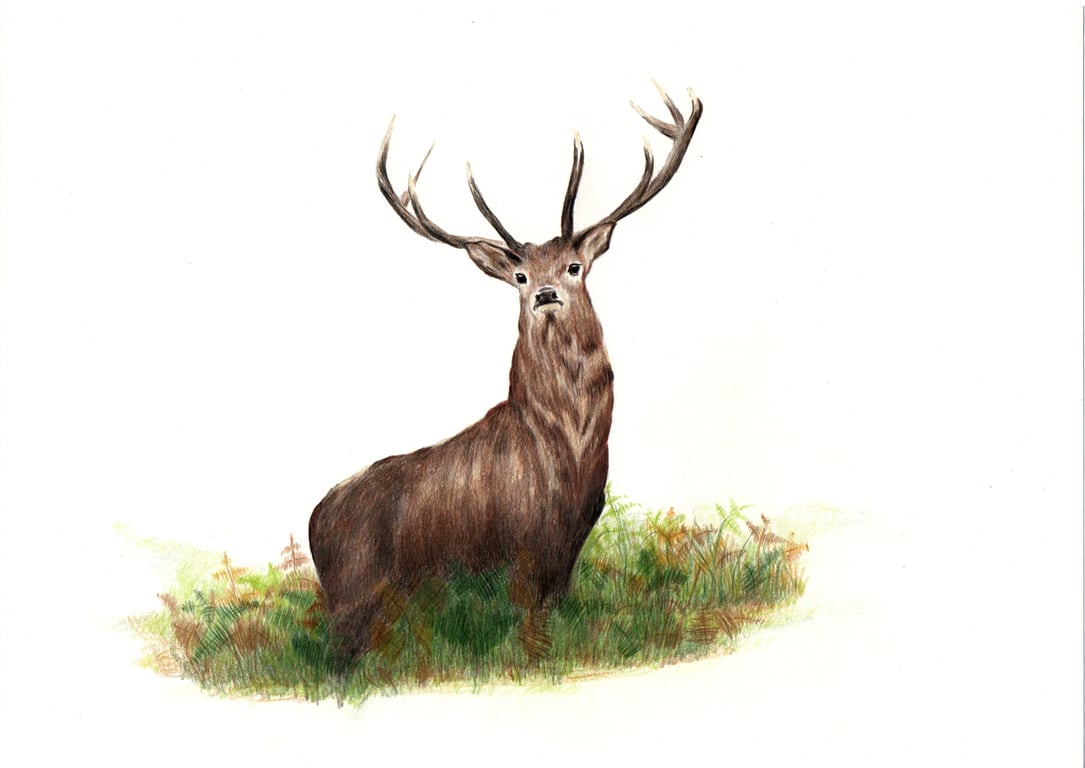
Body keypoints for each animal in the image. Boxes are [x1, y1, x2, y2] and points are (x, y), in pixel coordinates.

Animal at [308, 84, 703, 661]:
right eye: (520, 275)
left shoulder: (569, 547)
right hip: (355, 589)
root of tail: (313, 520)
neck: (566, 455)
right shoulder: (519, 546)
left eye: (573, 266)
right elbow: (527, 631)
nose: (545, 294)